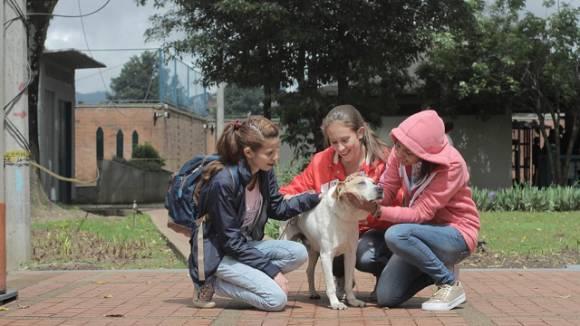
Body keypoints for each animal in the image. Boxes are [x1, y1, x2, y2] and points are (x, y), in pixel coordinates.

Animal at [282, 174, 386, 310]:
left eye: (374, 182)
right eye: (361, 183)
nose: (380, 189)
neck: (345, 216)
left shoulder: (350, 255)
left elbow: (348, 282)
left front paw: (353, 301)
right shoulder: (326, 255)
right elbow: (331, 284)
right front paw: (336, 303)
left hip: (314, 251)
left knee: (309, 271)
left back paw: (313, 293)